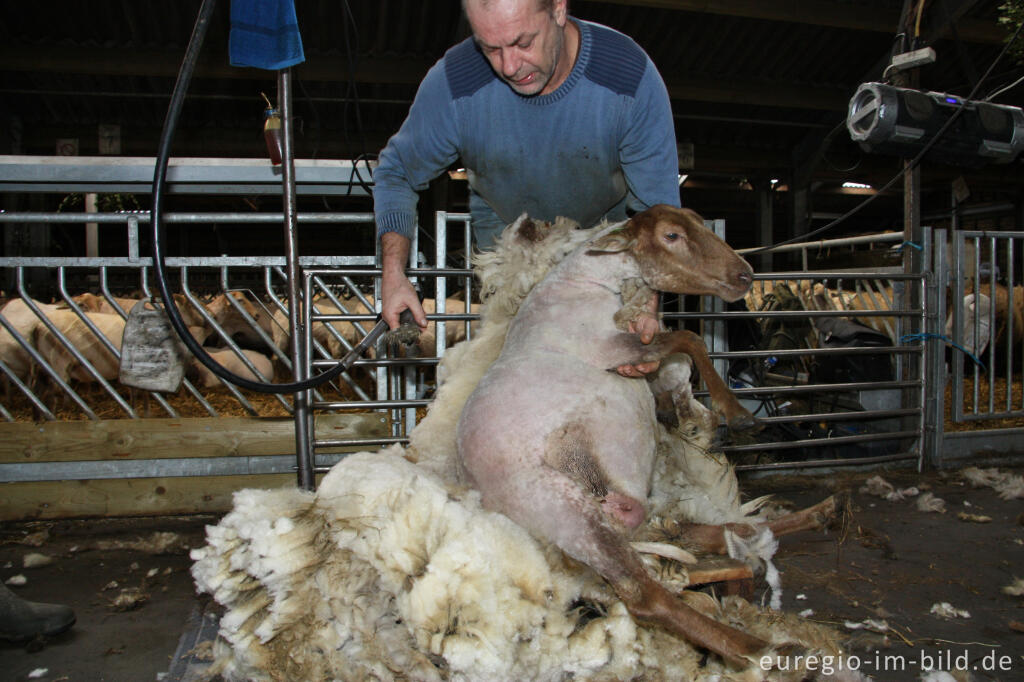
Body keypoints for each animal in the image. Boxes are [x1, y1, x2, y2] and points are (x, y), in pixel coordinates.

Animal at [193, 204, 847, 675]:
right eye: (670, 235)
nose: (745, 275)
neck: (588, 283)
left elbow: (680, 350)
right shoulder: (608, 349)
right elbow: (686, 338)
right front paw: (735, 410)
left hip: (614, 507)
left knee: (686, 536)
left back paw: (820, 516)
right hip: (564, 508)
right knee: (644, 592)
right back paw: (764, 649)